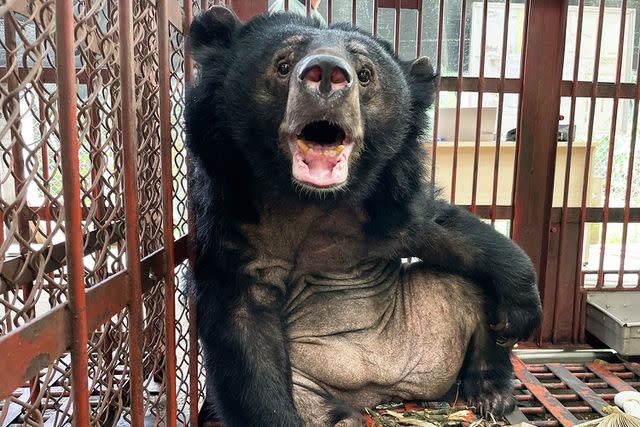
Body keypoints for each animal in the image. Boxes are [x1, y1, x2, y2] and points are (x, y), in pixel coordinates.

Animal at [185, 7, 540, 427]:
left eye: (365, 73)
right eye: (283, 65)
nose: (326, 72)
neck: (311, 201)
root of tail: (377, 390)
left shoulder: (383, 210)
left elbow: (444, 229)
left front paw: (519, 308)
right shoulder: (237, 229)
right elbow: (244, 337)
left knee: (465, 289)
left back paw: (492, 390)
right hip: (307, 380)